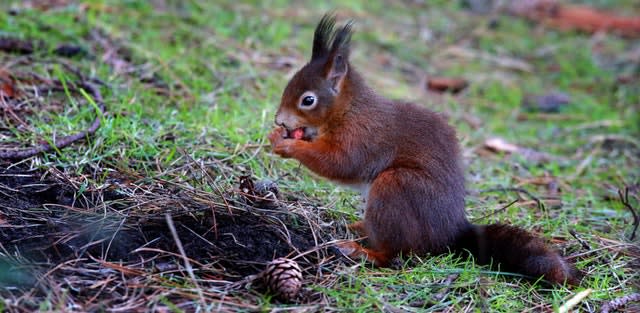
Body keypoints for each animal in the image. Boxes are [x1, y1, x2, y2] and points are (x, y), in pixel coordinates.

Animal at [268, 13, 576, 284]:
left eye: (308, 100)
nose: (279, 120)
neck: (348, 110)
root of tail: (449, 236)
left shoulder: (364, 136)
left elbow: (340, 162)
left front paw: (288, 144)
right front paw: (279, 135)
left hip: (396, 188)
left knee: (395, 253)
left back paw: (361, 251)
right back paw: (358, 228)